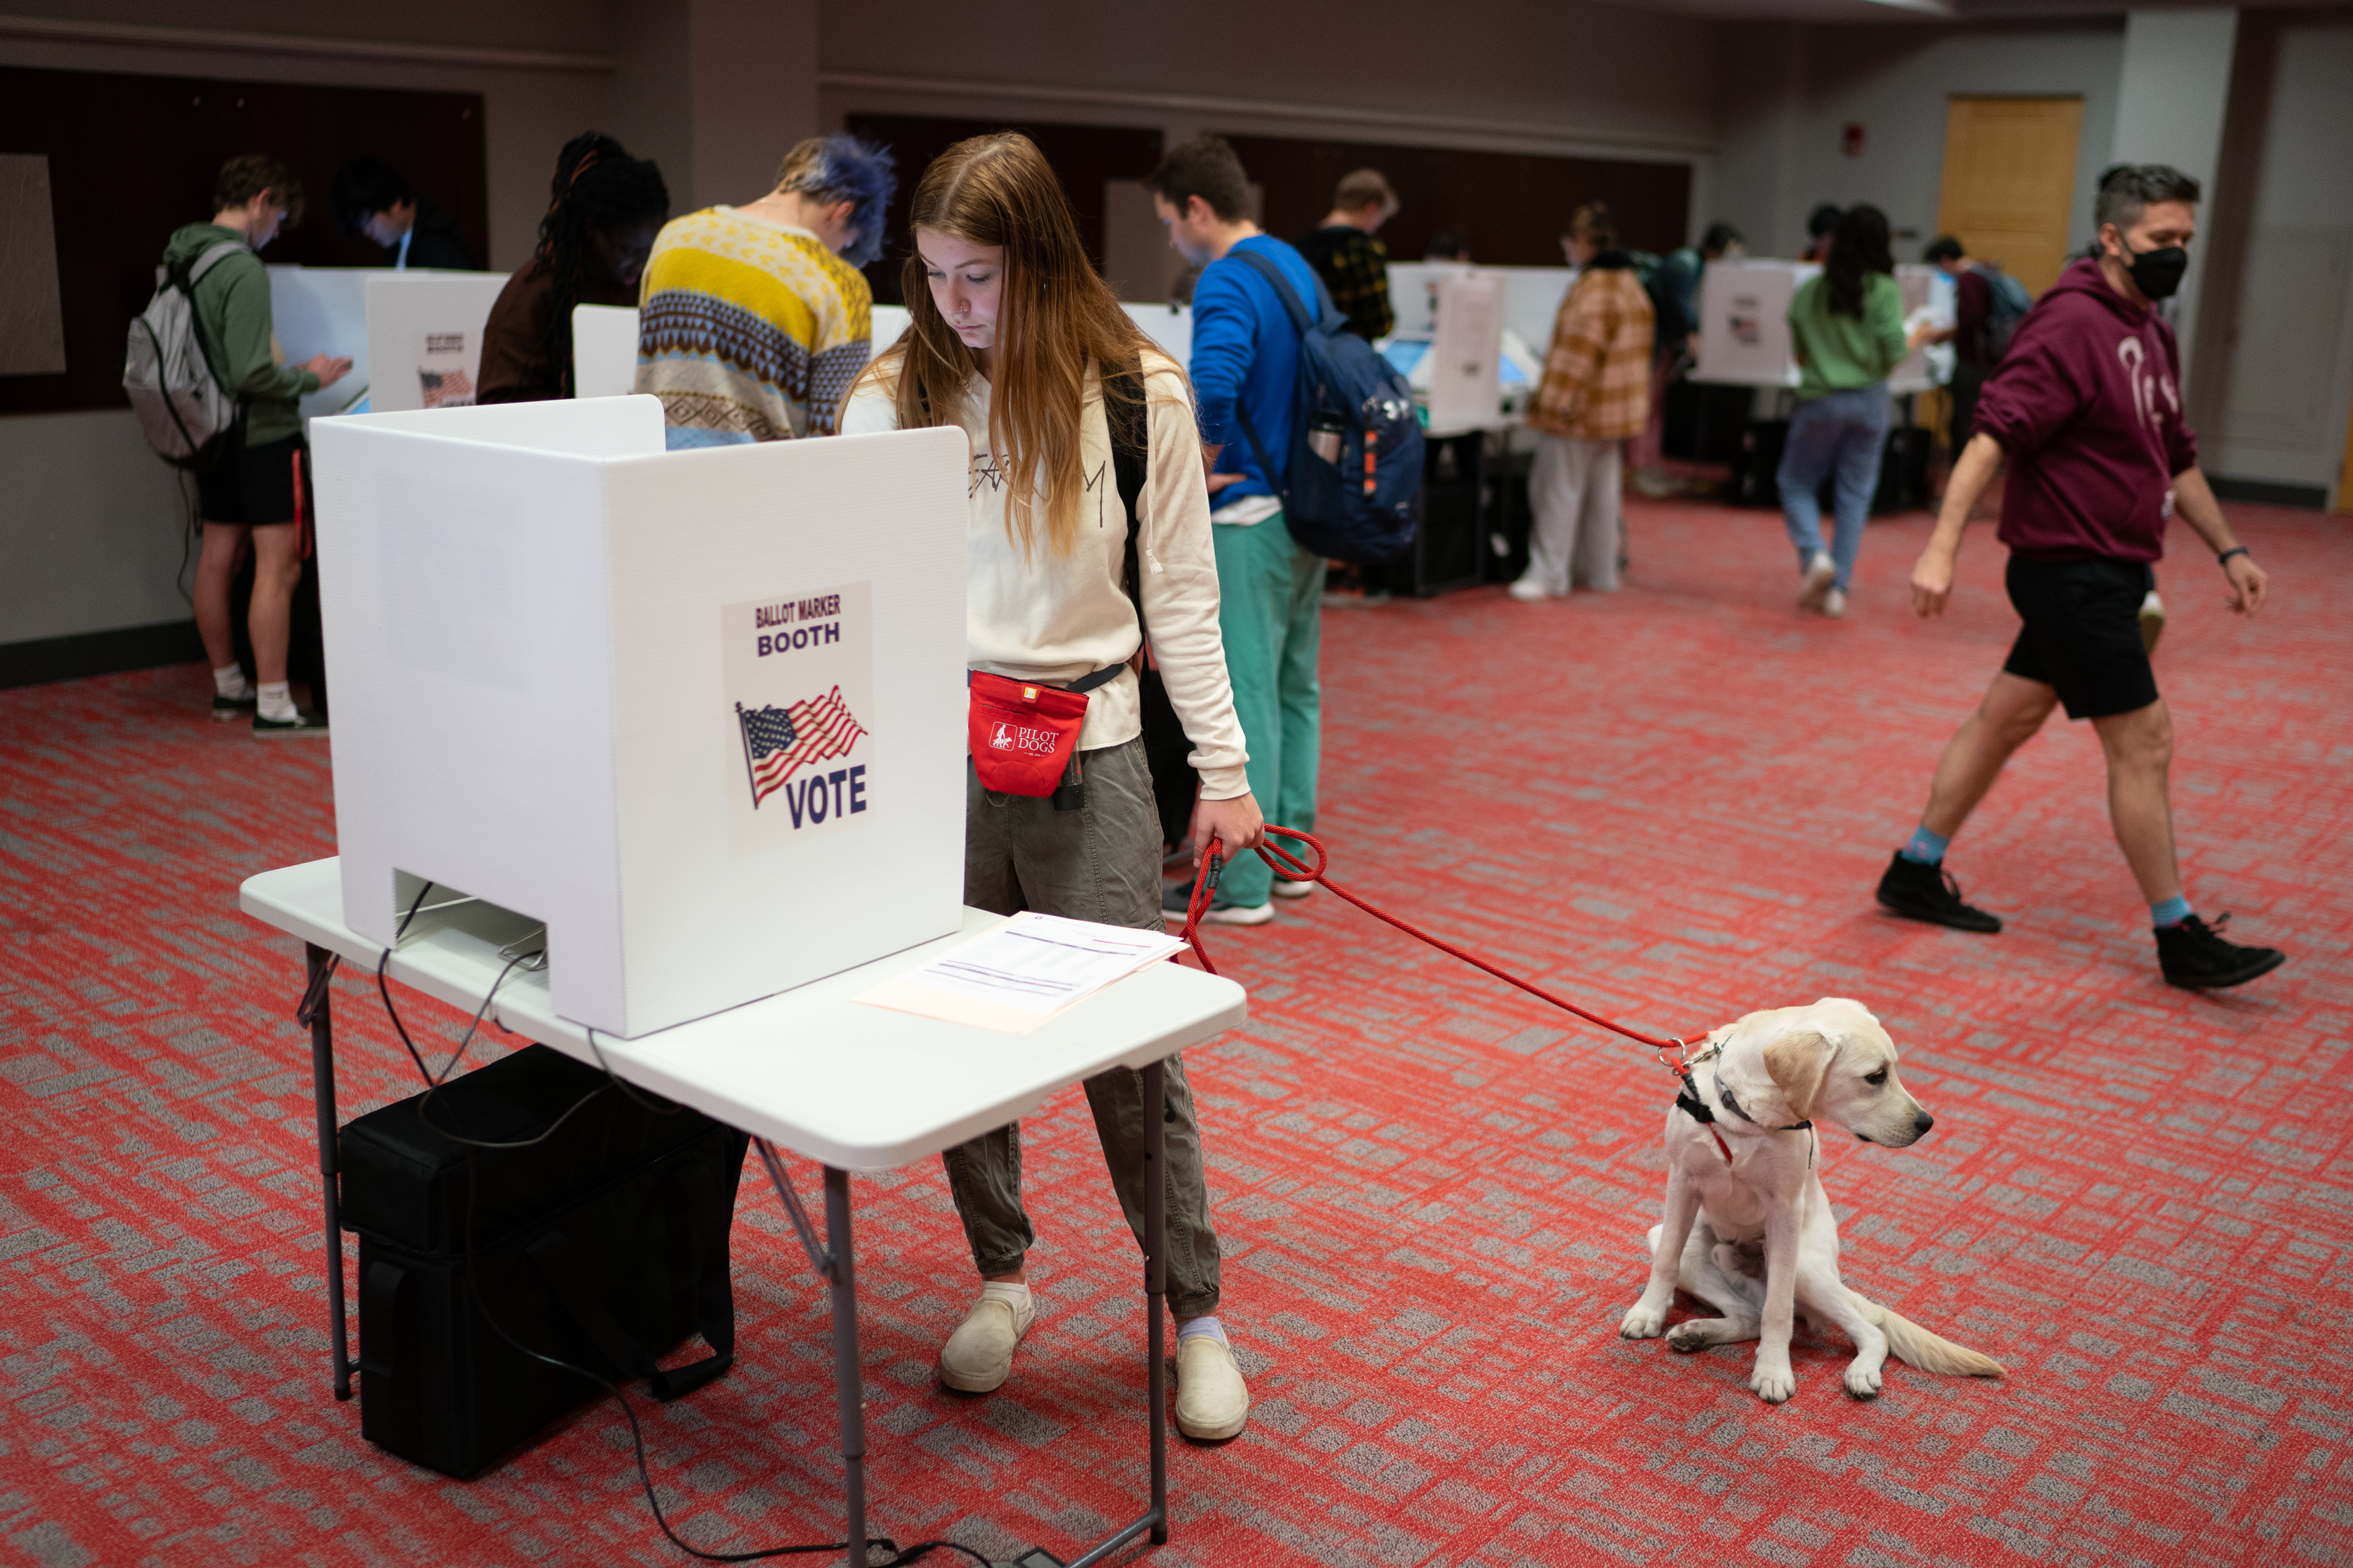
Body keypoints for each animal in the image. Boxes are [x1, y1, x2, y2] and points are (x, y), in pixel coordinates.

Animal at [1619, 1001, 2005, 1401]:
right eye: (1875, 1077)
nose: (1927, 1123)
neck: (1749, 1117)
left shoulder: (1786, 1207)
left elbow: (1778, 1310)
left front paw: (1773, 1370)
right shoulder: (1682, 1182)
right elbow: (1666, 1262)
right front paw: (1648, 1313)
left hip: (1803, 1265)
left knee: (1870, 1332)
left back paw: (1861, 1372)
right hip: (1688, 1249)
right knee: (1748, 1314)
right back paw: (1697, 1333)